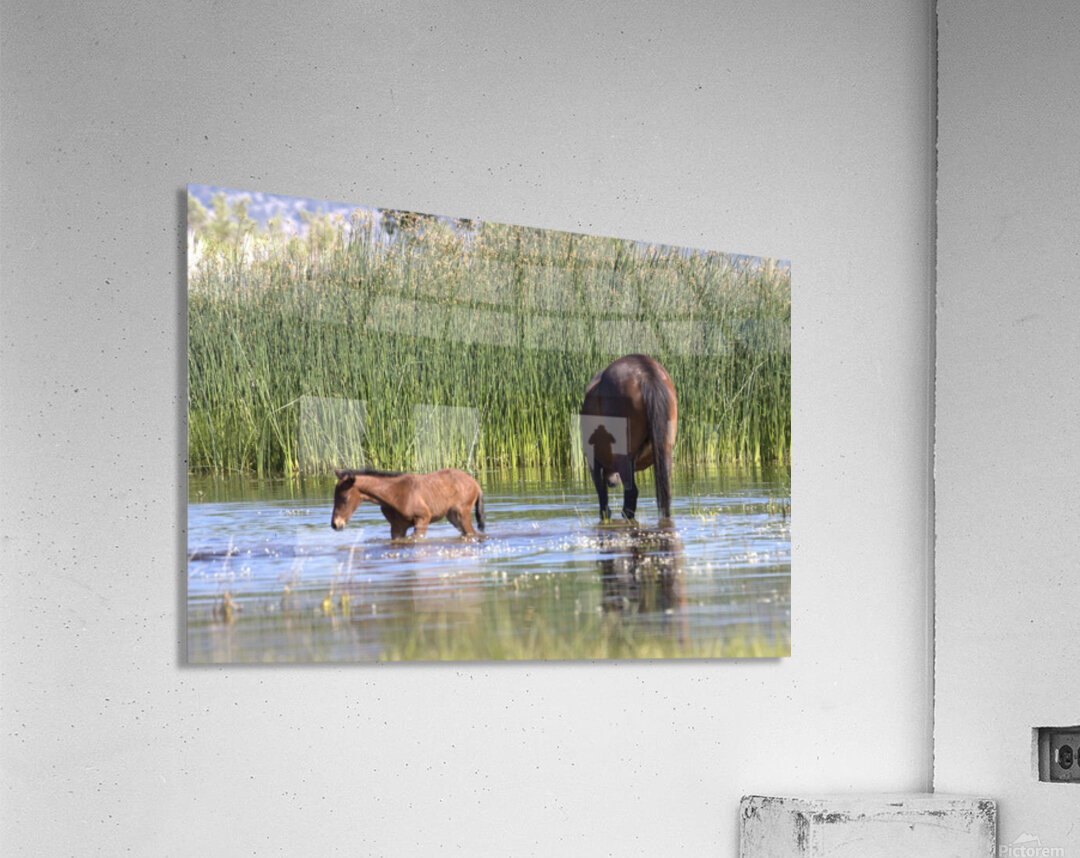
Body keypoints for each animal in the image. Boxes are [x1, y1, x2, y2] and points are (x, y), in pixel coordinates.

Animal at [330, 468, 486, 539]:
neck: (393, 494)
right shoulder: (397, 527)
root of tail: (476, 484)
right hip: (453, 517)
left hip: (462, 514)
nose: (335, 524)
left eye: (344, 498)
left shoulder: (423, 519)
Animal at [581, 354, 677, 521]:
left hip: (623, 455)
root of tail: (645, 372)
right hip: (665, 451)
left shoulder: (593, 461)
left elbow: (603, 504)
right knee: (665, 494)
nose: (612, 482)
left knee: (630, 496)